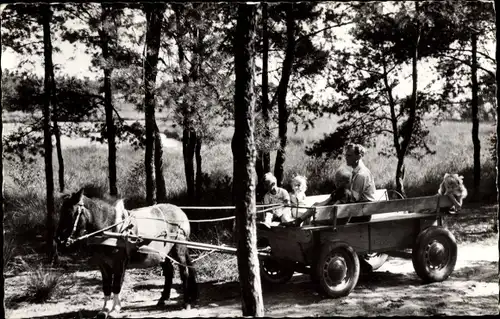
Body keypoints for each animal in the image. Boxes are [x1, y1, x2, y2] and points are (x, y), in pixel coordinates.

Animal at [55, 189, 198, 318]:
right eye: (61, 212)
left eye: (72, 213)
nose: (59, 239)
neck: (111, 228)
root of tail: (180, 211)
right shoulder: (103, 265)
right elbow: (106, 286)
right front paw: (104, 309)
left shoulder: (119, 263)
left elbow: (116, 285)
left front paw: (115, 309)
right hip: (163, 253)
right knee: (169, 272)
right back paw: (163, 299)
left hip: (179, 248)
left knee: (184, 272)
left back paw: (186, 302)